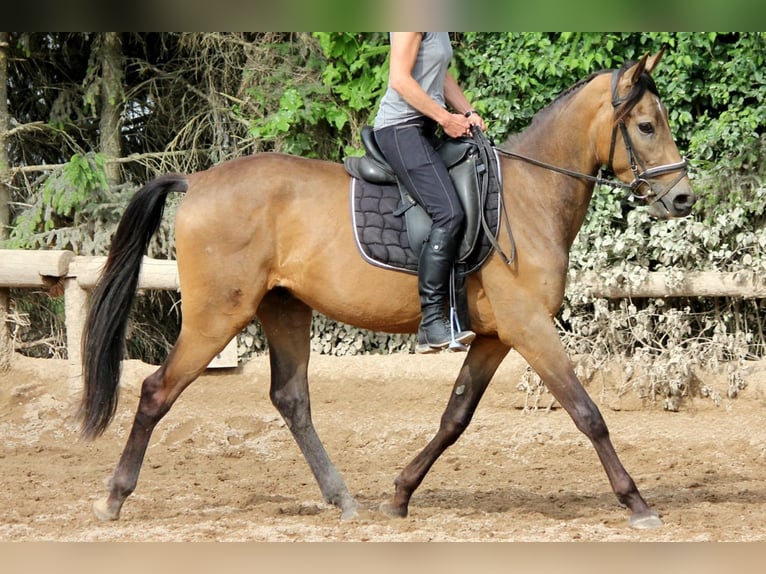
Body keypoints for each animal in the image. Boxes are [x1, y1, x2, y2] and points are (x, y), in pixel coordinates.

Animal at [78, 50, 696, 532]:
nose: (684, 199)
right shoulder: (529, 327)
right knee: (157, 390)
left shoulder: (495, 336)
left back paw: (343, 500)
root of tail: (198, 180)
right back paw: (112, 498)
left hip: (284, 309)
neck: (529, 194)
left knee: (291, 399)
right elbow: (587, 413)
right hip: (216, 316)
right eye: (646, 126)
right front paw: (638, 504)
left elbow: (455, 417)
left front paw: (400, 495)